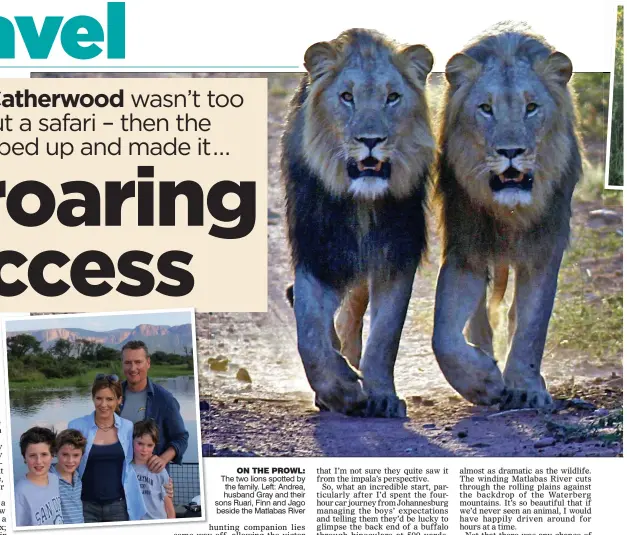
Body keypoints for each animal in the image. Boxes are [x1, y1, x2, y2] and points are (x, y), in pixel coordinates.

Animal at [284, 28, 436, 418]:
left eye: (392, 97)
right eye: (347, 97)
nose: (370, 141)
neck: (362, 202)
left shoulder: (396, 254)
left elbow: (385, 337)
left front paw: (381, 396)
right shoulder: (318, 255)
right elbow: (310, 335)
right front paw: (339, 390)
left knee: (353, 311)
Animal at [432, 25, 584, 410]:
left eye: (531, 108)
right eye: (486, 109)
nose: (511, 152)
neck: (509, 211)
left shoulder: (544, 249)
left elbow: (531, 326)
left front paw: (526, 387)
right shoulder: (465, 249)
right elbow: (443, 335)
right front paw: (481, 382)